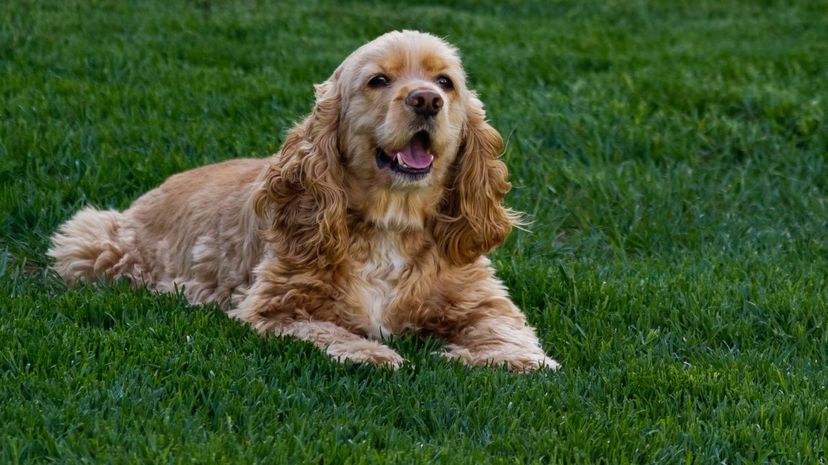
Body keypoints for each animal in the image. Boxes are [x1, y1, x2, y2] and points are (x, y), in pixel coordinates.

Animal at [48, 30, 560, 372]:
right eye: (378, 81)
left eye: (445, 82)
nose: (426, 100)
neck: (391, 222)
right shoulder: (276, 305)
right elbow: (326, 329)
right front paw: (374, 353)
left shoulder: (481, 298)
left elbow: (507, 330)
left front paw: (510, 359)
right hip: (95, 243)